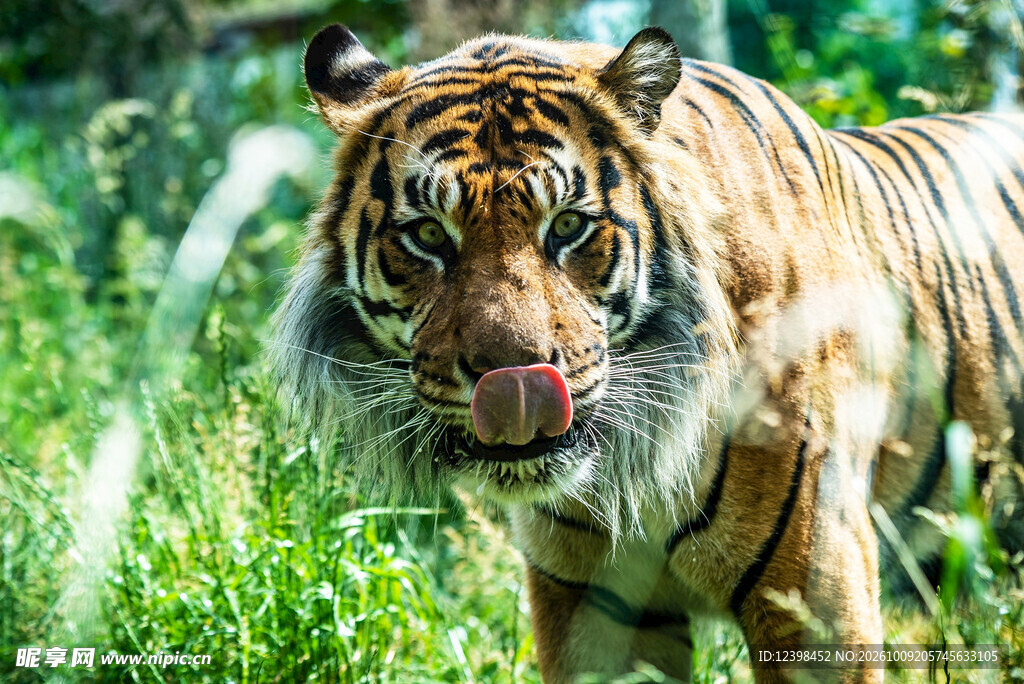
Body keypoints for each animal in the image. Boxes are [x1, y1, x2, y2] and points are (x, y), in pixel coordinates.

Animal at [271, 22, 1024, 683]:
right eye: (428, 234)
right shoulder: (590, 608)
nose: (512, 382)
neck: (631, 468)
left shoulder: (816, 596)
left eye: (568, 226)